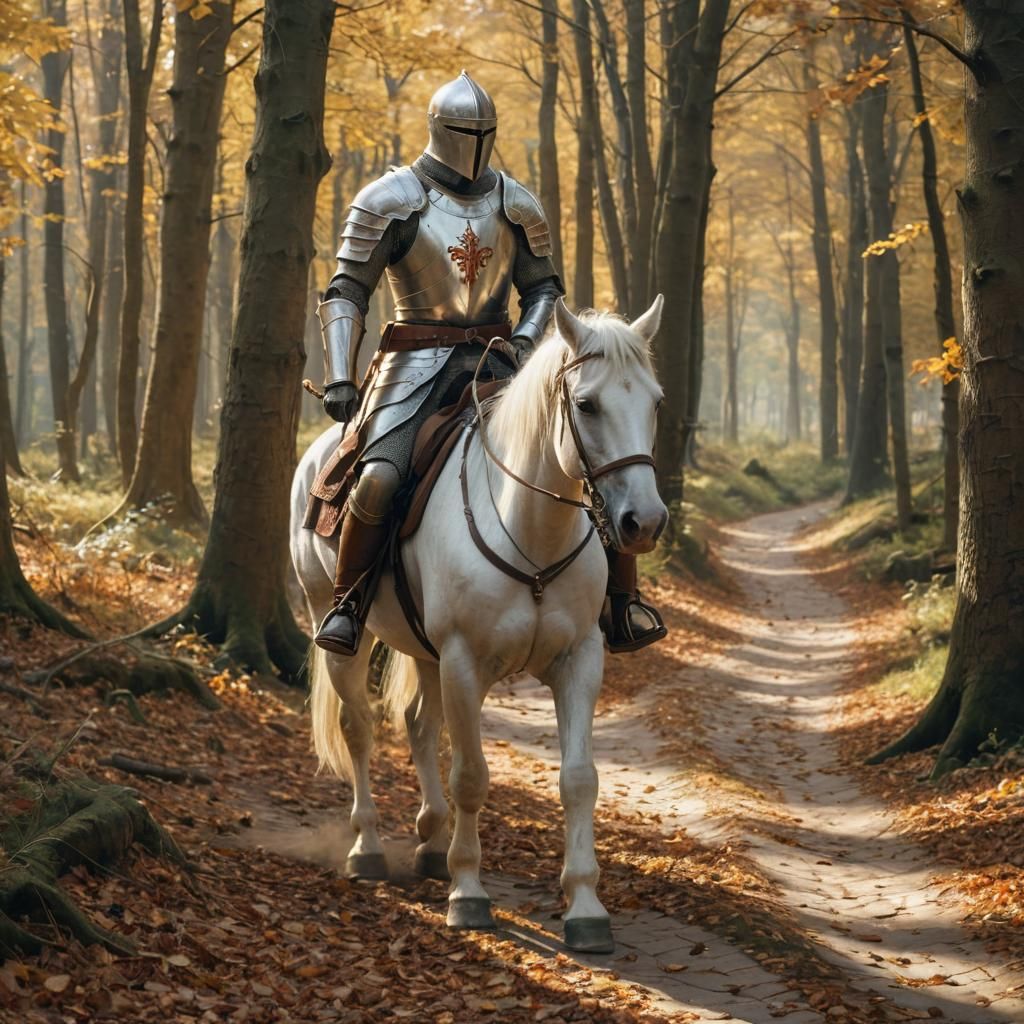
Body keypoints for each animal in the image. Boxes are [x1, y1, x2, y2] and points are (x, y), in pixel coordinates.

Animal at [289, 296, 667, 954]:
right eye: (587, 404)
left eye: (654, 402)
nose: (643, 522)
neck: (529, 530)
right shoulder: (464, 663)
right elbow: (470, 775)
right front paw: (468, 894)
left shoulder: (578, 662)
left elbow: (579, 779)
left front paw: (586, 906)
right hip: (334, 624)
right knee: (358, 727)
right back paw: (369, 848)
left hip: (424, 650)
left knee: (417, 724)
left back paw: (431, 842)